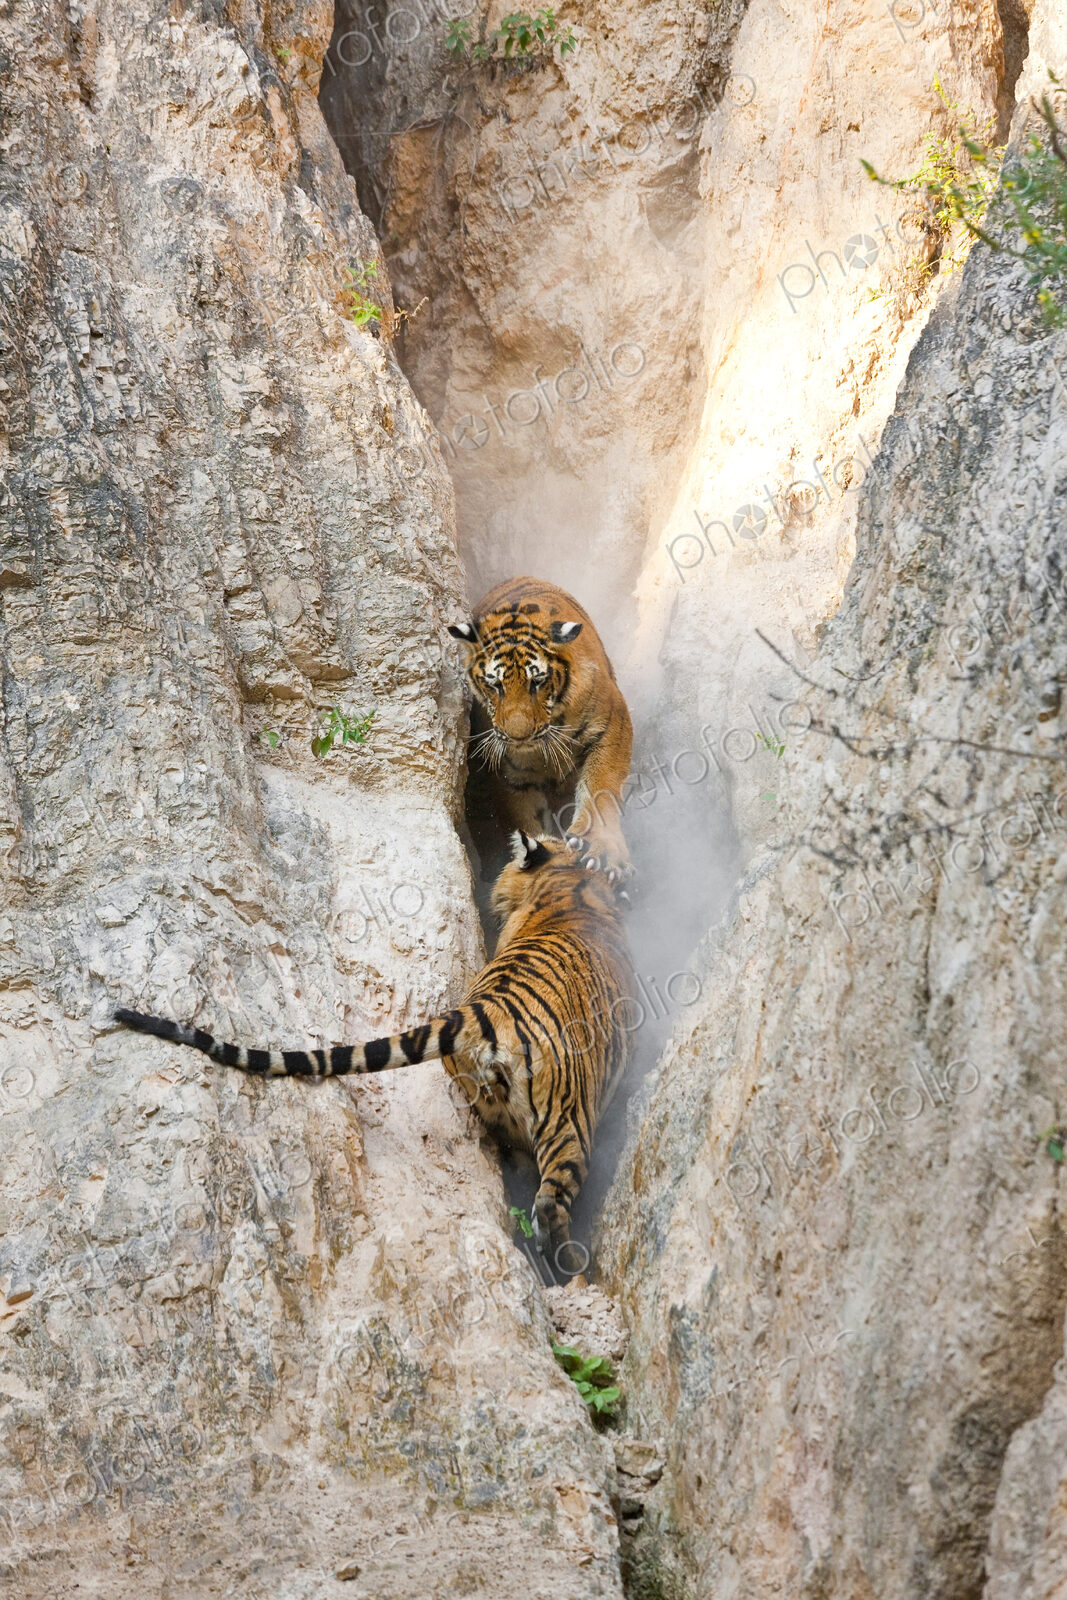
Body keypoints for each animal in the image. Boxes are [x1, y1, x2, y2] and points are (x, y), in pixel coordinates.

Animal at [448, 577, 634, 886]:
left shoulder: (612, 727)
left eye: (537, 681)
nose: (518, 736)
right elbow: (524, 817)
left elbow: (601, 788)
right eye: (494, 684)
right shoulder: (511, 774)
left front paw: (601, 850)